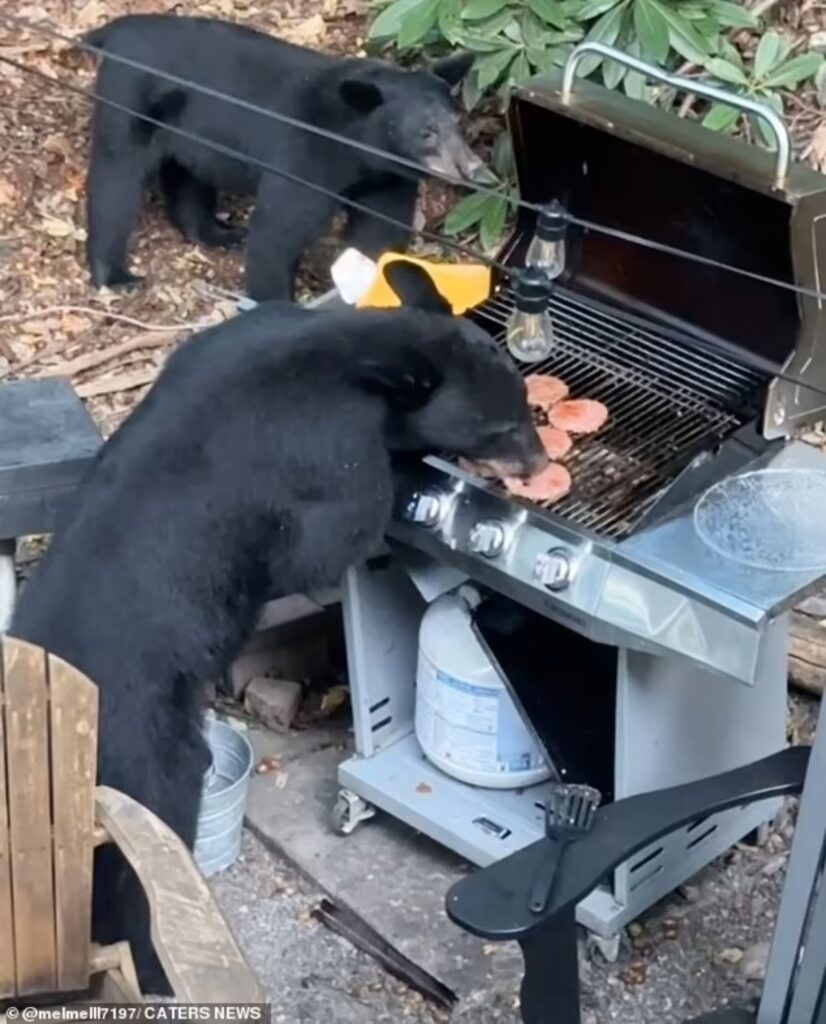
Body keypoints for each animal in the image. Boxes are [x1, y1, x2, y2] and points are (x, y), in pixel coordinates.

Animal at [9, 264, 544, 991]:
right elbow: (332, 538)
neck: (353, 349)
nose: (540, 462)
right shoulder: (332, 450)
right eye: (499, 425)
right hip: (142, 758)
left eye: (525, 404)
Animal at [80, 14, 481, 299]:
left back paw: (217, 233)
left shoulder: (387, 177)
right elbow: (280, 229)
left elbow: (380, 229)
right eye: (427, 131)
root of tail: (115, 31)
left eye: (457, 122)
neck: (359, 149)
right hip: (130, 101)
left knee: (188, 177)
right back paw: (116, 275)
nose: (471, 166)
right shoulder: (307, 155)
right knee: (116, 179)